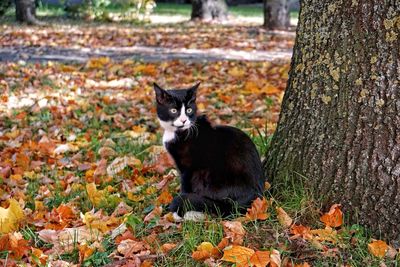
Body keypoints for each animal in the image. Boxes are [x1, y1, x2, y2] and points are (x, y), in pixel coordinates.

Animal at [154, 82, 266, 217]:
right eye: (173, 110)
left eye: (189, 110)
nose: (184, 120)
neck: (177, 132)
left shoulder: (188, 167)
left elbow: (184, 186)